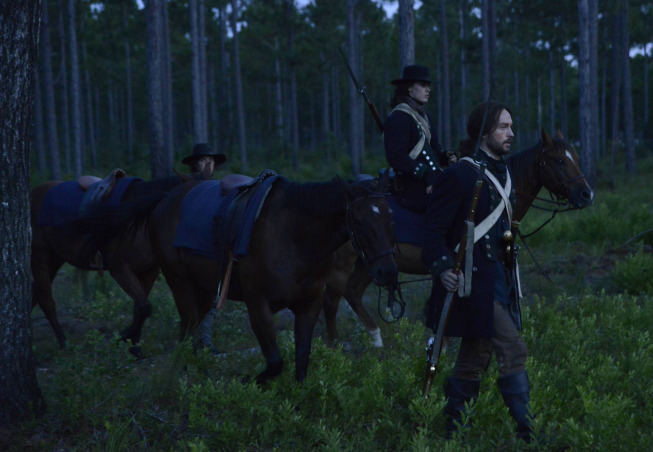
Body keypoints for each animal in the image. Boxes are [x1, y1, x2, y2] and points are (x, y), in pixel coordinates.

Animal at [29, 170, 201, 356]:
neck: (142, 222)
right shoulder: (120, 270)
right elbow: (144, 307)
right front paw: (123, 337)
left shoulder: (148, 271)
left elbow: (140, 308)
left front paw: (135, 348)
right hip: (39, 256)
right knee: (46, 300)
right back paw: (63, 342)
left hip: (54, 259)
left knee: (35, 295)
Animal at [148, 173, 398, 382]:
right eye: (359, 221)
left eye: (390, 216)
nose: (388, 271)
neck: (294, 239)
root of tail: (166, 200)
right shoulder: (258, 306)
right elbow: (275, 362)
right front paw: (249, 381)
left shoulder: (309, 304)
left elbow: (302, 361)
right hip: (181, 286)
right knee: (186, 333)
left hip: (204, 291)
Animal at [322, 129, 596, 348]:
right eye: (559, 160)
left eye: (576, 158)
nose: (586, 194)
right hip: (347, 266)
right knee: (332, 301)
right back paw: (336, 347)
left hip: (370, 264)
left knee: (353, 293)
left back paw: (376, 340)